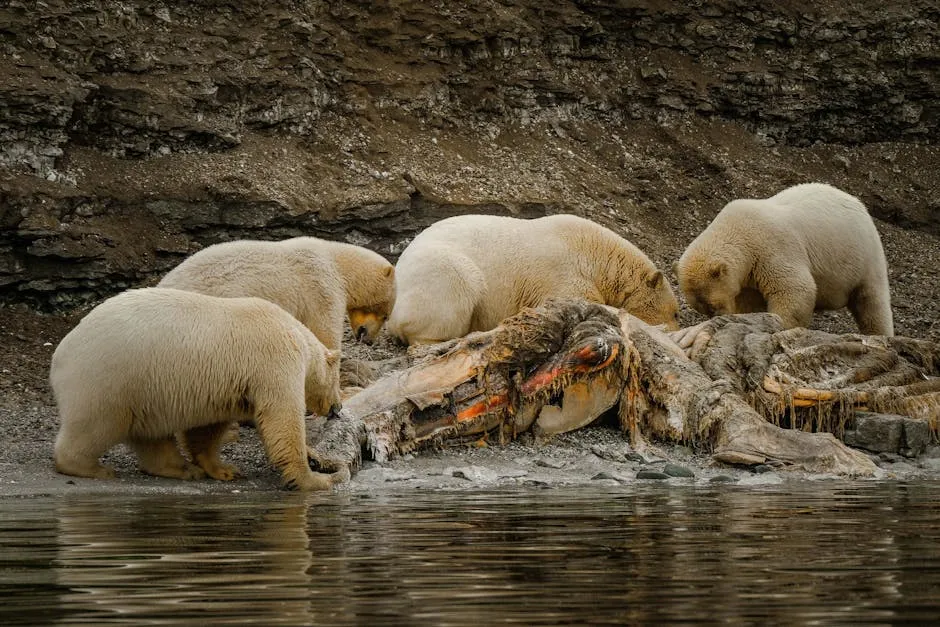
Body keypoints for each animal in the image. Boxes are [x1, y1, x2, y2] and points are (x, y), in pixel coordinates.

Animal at [50, 288, 348, 490]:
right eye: (338, 385)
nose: (337, 408)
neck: (298, 337)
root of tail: (60, 354)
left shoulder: (226, 384)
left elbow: (208, 427)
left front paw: (223, 469)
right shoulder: (274, 360)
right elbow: (281, 417)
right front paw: (314, 478)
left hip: (142, 389)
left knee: (151, 435)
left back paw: (182, 469)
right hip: (109, 376)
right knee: (97, 425)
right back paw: (92, 468)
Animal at [386, 215, 680, 344]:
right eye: (676, 313)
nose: (675, 328)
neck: (595, 253)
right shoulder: (561, 272)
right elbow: (576, 298)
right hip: (442, 272)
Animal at [676, 183, 896, 336]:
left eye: (713, 305)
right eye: (702, 309)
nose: (718, 317)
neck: (738, 231)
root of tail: (858, 203)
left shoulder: (770, 247)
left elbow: (795, 288)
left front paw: (780, 324)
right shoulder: (749, 273)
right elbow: (751, 301)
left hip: (863, 254)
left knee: (871, 300)